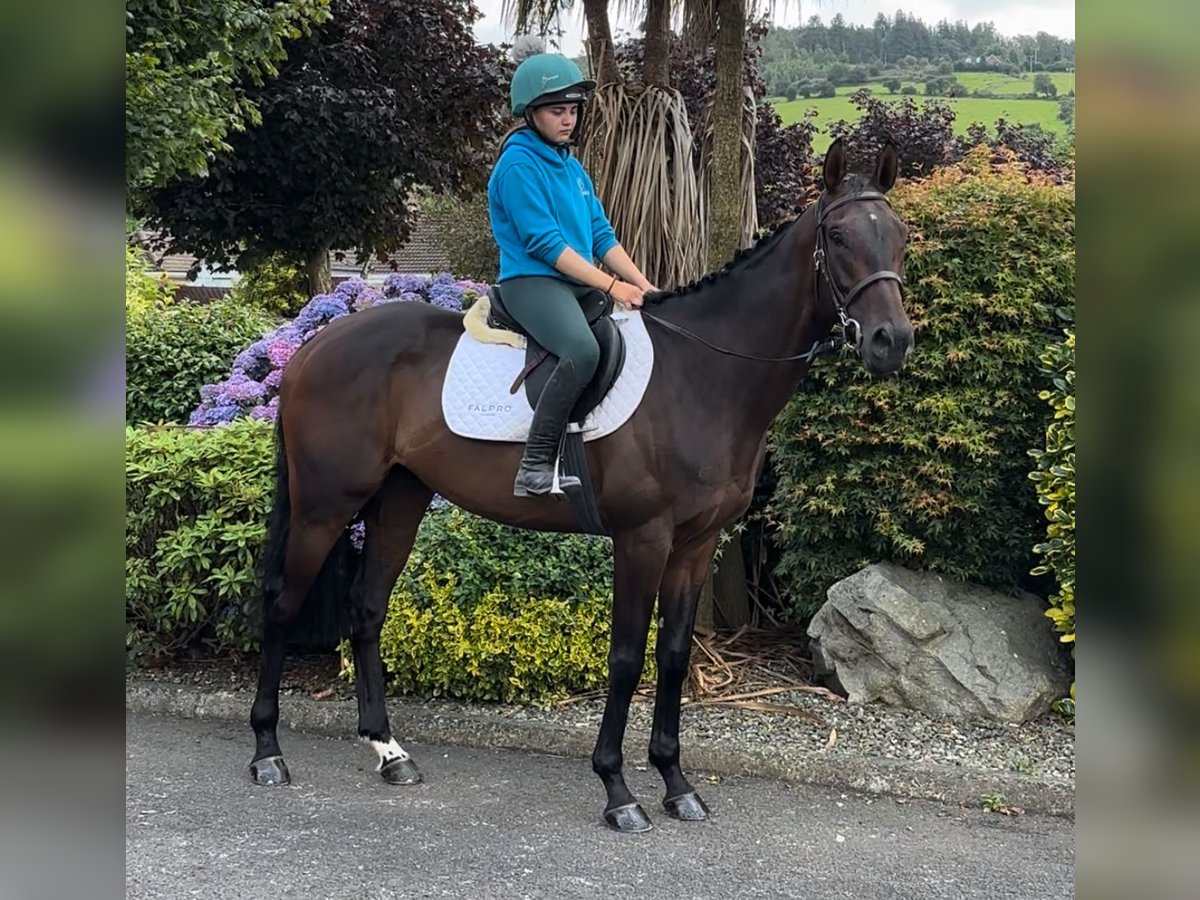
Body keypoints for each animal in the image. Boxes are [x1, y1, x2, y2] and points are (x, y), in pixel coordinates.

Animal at [250, 137, 907, 835]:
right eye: (837, 236)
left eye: (900, 235)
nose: (892, 342)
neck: (703, 375)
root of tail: (313, 348)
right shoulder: (643, 538)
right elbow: (626, 657)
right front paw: (618, 790)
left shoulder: (695, 543)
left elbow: (674, 653)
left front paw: (676, 783)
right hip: (324, 507)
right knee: (283, 605)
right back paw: (267, 752)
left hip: (399, 499)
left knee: (367, 608)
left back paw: (388, 751)